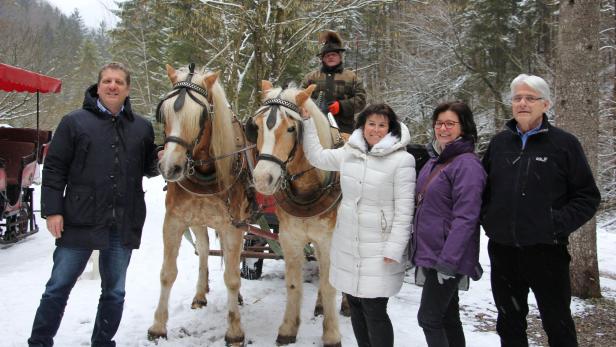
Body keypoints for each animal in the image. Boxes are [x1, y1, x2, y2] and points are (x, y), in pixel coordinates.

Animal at [148, 64, 251, 346]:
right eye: (164, 111)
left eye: (202, 115)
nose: (170, 167)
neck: (205, 170)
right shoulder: (174, 221)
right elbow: (167, 273)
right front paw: (158, 326)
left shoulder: (233, 225)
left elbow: (232, 278)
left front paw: (234, 330)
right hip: (198, 220)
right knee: (204, 249)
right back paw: (200, 293)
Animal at [248, 82, 344, 347]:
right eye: (256, 126)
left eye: (291, 128)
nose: (263, 179)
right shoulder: (289, 238)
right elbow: (293, 284)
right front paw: (288, 329)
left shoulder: (329, 241)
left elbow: (330, 284)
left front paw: (332, 334)